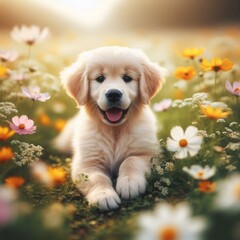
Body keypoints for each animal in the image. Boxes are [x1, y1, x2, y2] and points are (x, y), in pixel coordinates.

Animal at [55, 46, 166, 210]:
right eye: (100, 78)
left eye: (127, 78)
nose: (113, 94)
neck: (115, 130)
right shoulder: (86, 163)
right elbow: (97, 178)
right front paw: (104, 195)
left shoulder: (148, 153)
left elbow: (131, 161)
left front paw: (130, 183)